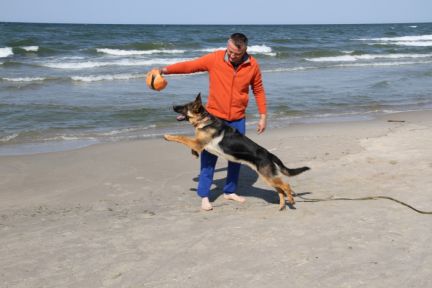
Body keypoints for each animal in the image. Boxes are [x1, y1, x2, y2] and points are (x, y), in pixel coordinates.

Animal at [164, 94, 308, 209]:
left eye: (184, 107)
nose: (173, 106)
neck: (204, 120)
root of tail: (268, 153)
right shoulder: (198, 143)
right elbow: (188, 142)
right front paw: (194, 153)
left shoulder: (198, 143)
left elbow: (181, 137)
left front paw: (168, 136)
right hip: (268, 178)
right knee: (281, 190)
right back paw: (282, 205)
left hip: (269, 177)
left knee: (286, 186)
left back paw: (291, 200)